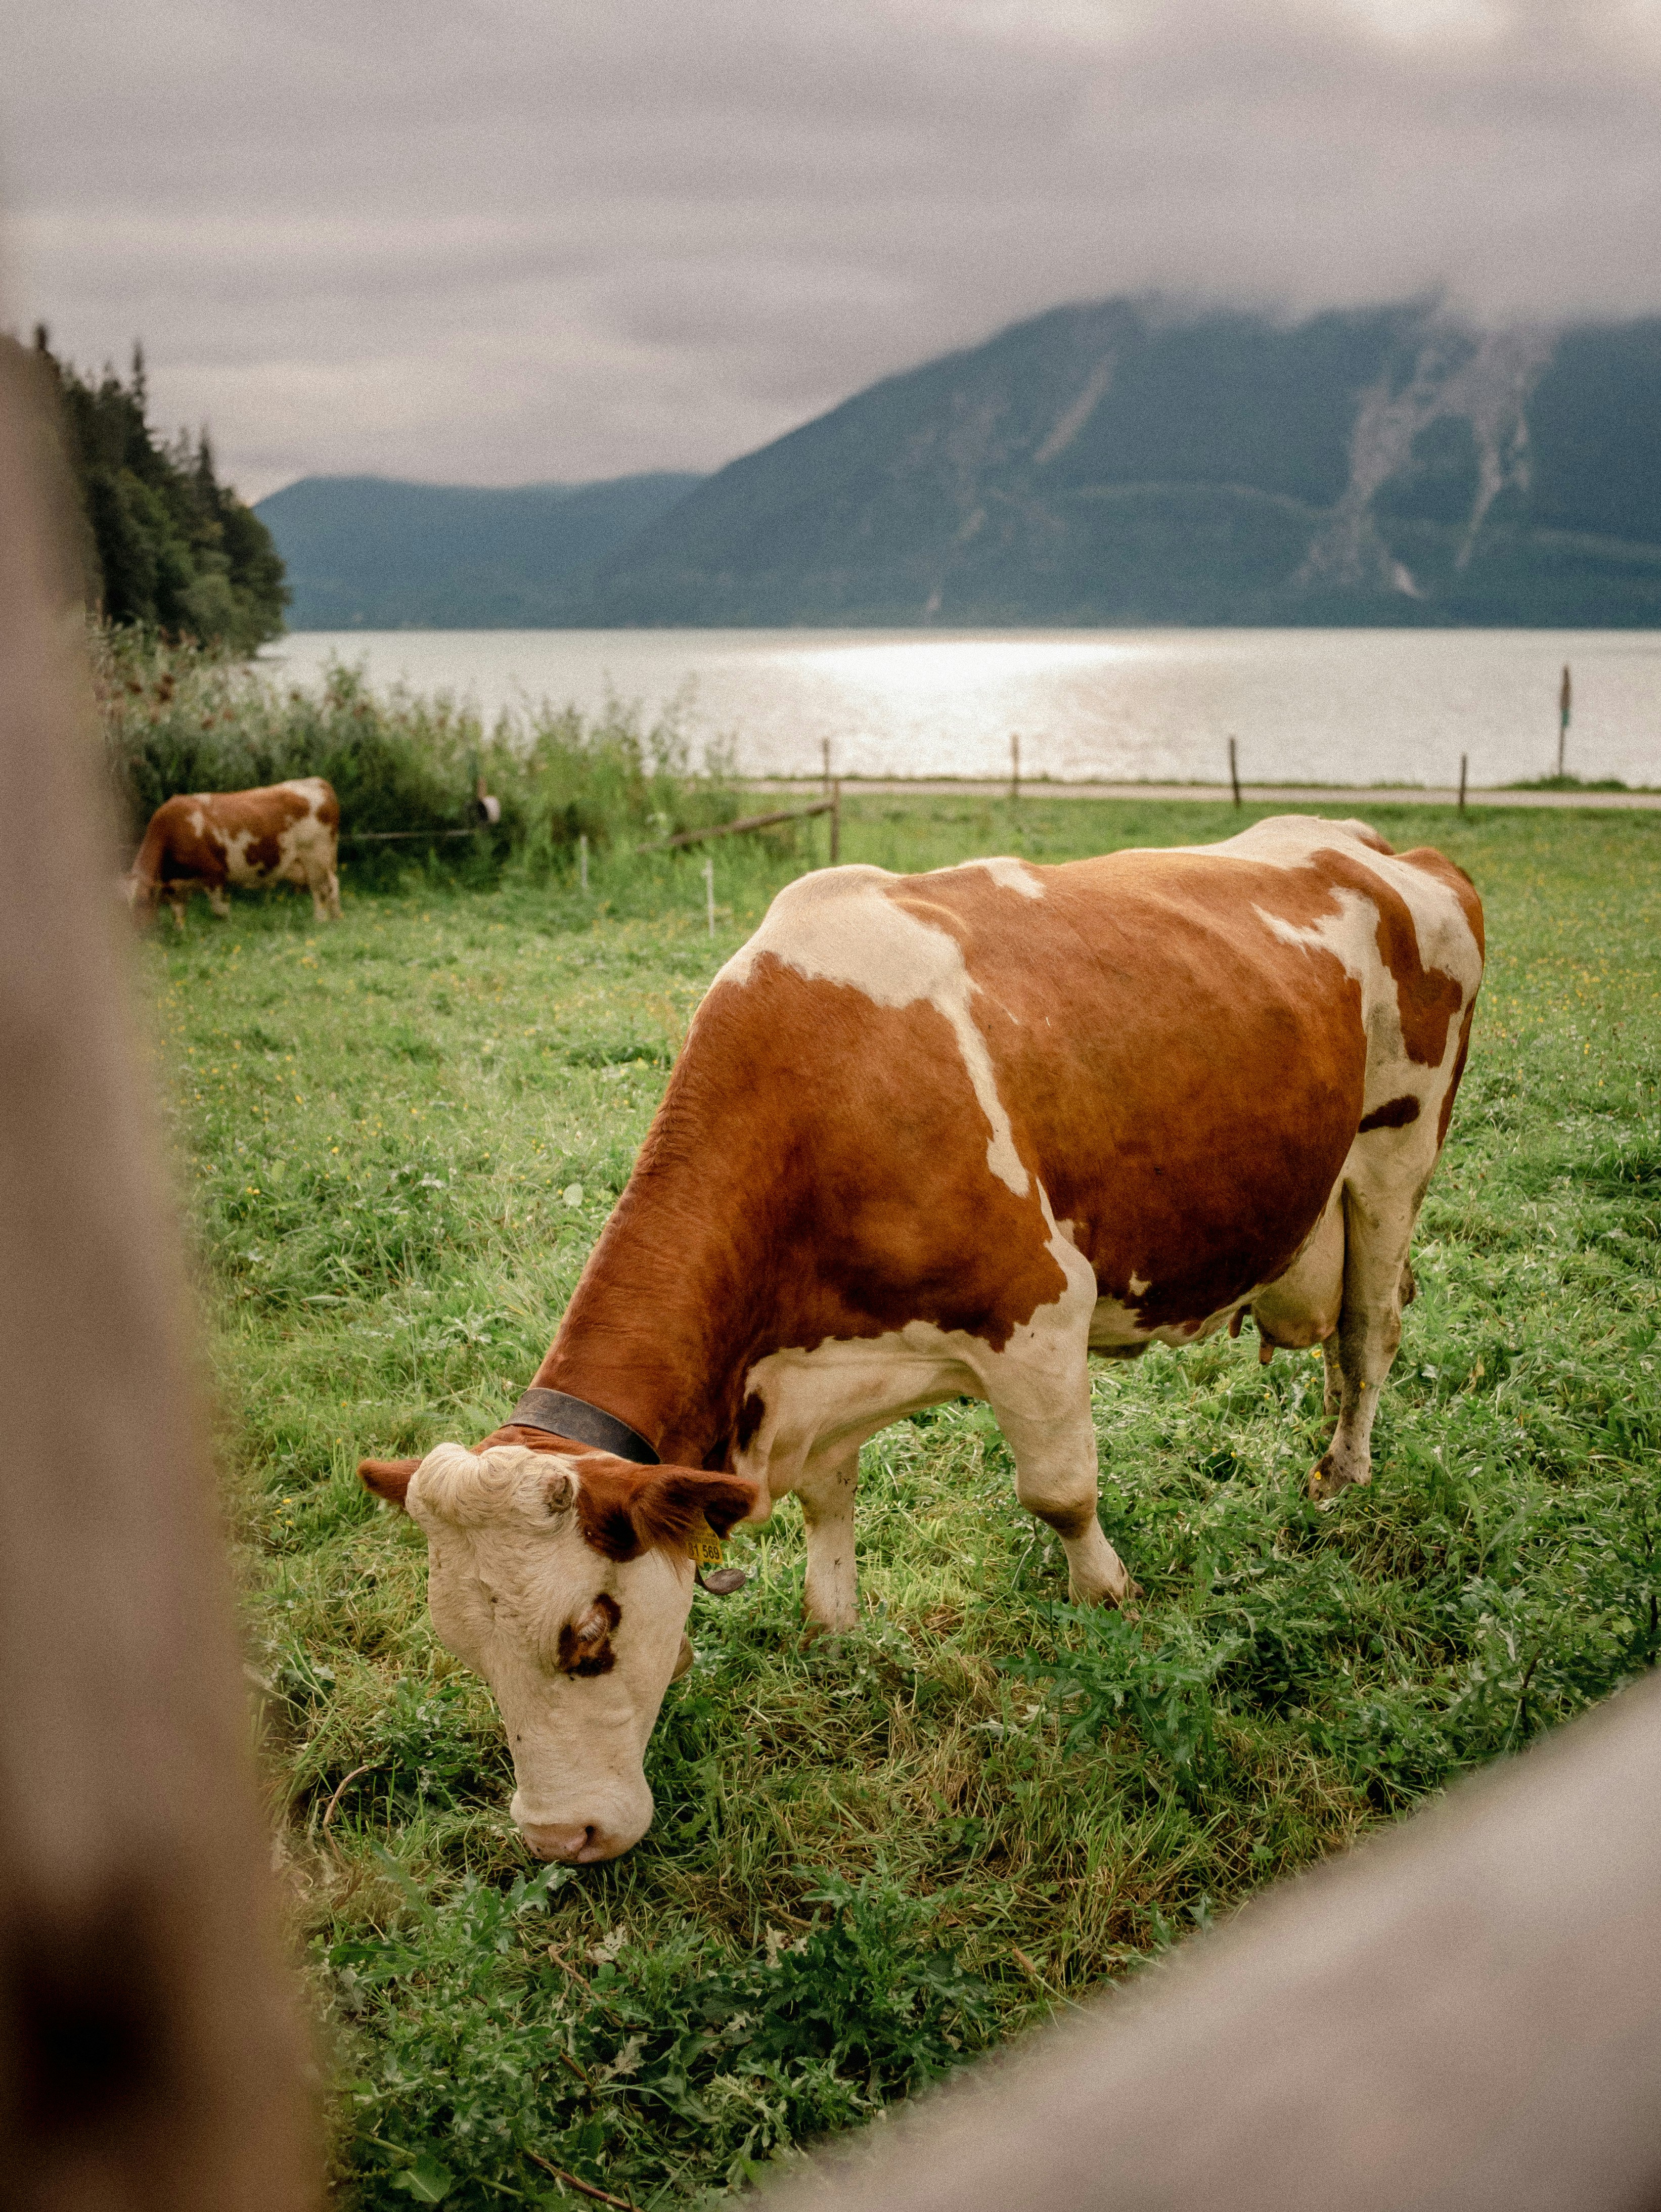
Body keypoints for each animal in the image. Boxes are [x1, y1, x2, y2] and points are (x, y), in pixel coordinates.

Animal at [126, 776, 342, 926]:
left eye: (141, 903)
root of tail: (317, 782)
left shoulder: (214, 874)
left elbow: (220, 911)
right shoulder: (175, 887)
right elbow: (178, 914)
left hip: (316, 860)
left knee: (324, 890)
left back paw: (321, 922)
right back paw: (335, 919)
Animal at [360, 815, 1484, 1864]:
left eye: (589, 1634)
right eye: (460, 1648)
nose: (562, 1838)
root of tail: (1372, 842)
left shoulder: (1038, 1311)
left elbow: (1060, 1493)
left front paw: (1106, 1601)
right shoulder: (819, 1366)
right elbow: (828, 1501)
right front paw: (833, 1629)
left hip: (1396, 1157)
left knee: (1367, 1337)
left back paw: (1343, 1475)